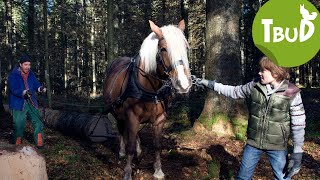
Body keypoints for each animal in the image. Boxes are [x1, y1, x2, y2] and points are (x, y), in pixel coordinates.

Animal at [104, 19, 191, 179]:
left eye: (186, 48)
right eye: (163, 49)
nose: (183, 84)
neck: (152, 90)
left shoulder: (160, 119)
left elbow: (157, 145)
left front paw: (158, 170)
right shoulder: (131, 116)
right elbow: (130, 146)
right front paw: (127, 172)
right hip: (116, 112)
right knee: (121, 129)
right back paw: (122, 152)